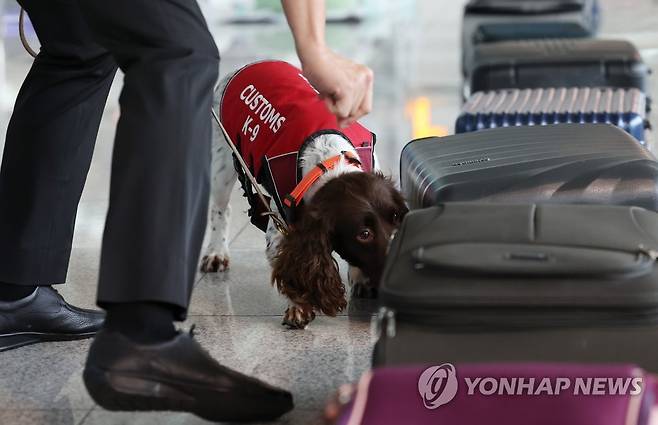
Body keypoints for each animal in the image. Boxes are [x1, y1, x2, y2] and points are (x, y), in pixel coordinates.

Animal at [201, 61, 404, 328]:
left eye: (397, 218)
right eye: (364, 234)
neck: (329, 163)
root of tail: (252, 63)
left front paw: (360, 278)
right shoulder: (280, 225)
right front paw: (299, 307)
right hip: (222, 163)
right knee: (221, 209)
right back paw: (216, 252)